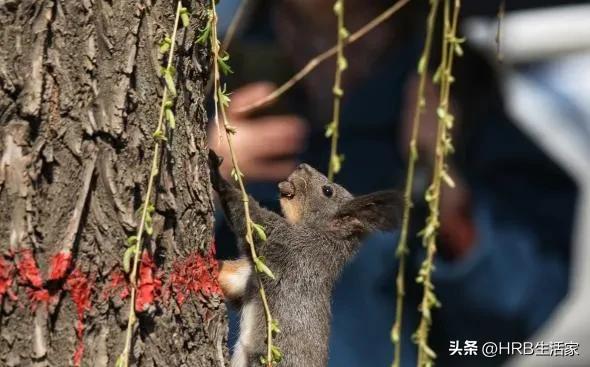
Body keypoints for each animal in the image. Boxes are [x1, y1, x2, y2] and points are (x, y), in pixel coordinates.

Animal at [208, 150, 402, 367]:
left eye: (327, 191)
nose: (302, 166)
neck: (322, 236)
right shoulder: (248, 276)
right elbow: (229, 279)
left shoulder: (287, 245)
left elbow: (249, 217)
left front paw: (217, 174)